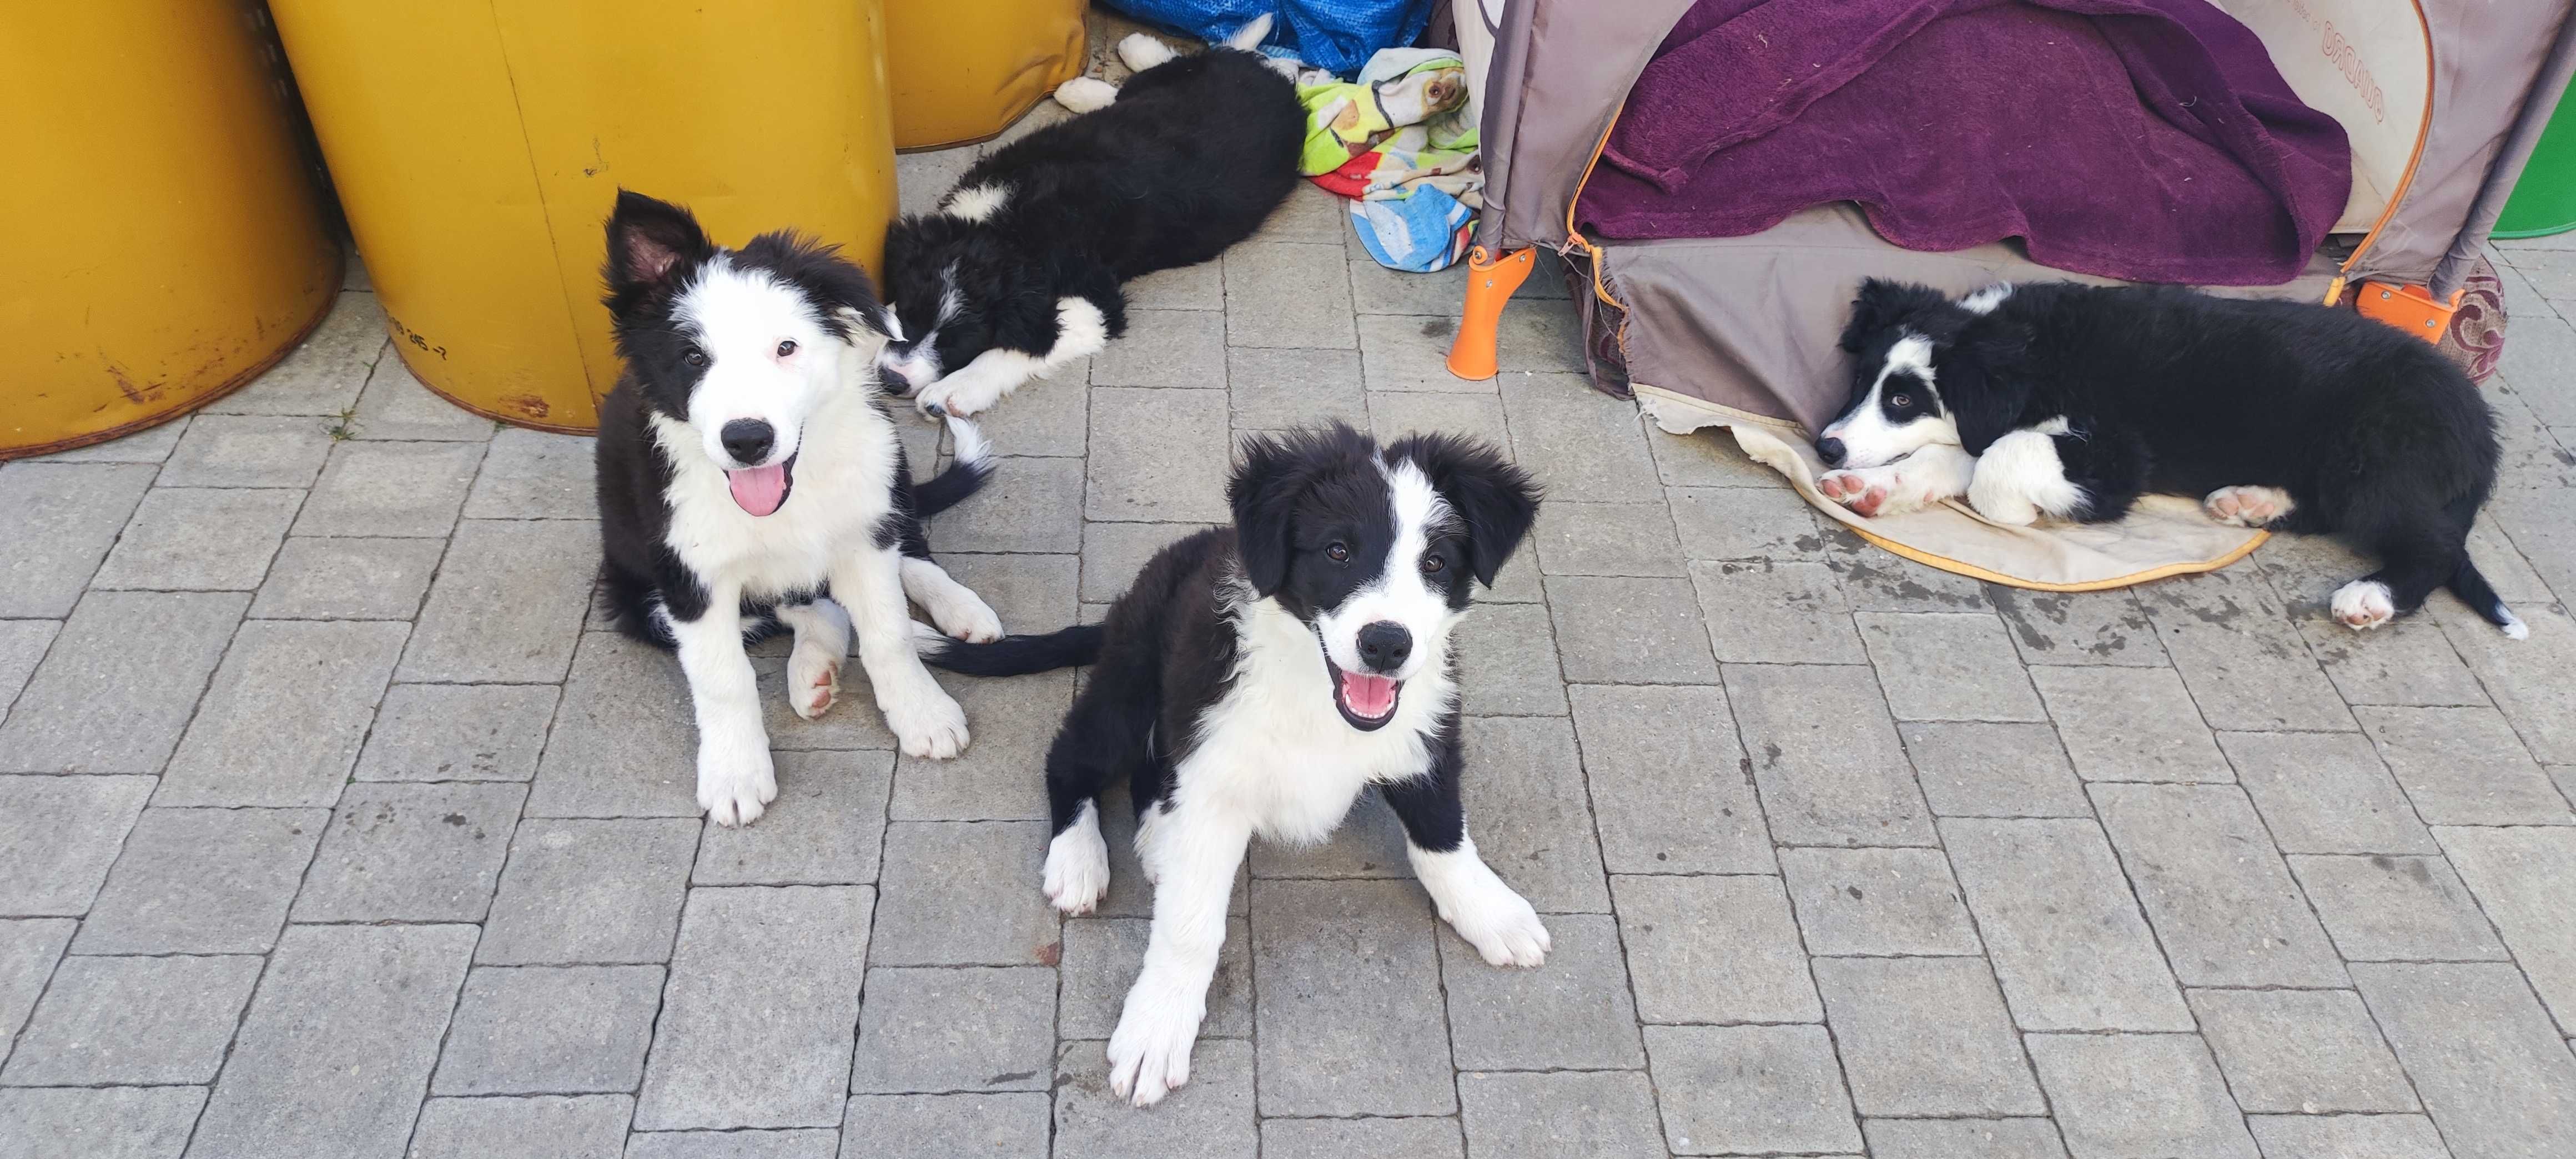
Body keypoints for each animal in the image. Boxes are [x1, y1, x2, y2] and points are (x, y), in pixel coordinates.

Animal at [595, 190, 1004, 824]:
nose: (747, 440)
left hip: (885, 478)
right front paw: (735, 774)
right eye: (692, 358)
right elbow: (723, 677)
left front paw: (923, 713)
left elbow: (888, 632)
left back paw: (959, 609)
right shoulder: (691, 575)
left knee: (904, 550)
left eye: (786, 348)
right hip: (636, 594)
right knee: (803, 606)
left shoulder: (863, 533)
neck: (789, 491)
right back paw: (814, 667)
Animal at [871, 17, 1309, 417]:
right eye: (907, 313)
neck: (1006, 225)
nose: (893, 381)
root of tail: (1267, 75)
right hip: (1171, 84)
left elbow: (1027, 345)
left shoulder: (1094, 299)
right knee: (1153, 75)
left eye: (959, 343)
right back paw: (1104, 71)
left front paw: (954, 390)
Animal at [912, 425, 1535, 1102]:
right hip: (1131, 684)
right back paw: (1079, 860)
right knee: (1072, 759)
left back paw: (1158, 839)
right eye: (1338, 551)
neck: (1314, 692)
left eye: (1435, 563)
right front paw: (1158, 1025)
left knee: (1154, 770)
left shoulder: (1424, 737)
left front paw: (1492, 912)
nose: (1387, 644)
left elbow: (1442, 833)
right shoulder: (1214, 769)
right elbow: (1189, 928)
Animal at [1813, 279, 2514, 638]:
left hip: (2374, 460)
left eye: (1902, 398)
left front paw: (2022, 508)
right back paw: (2250, 501)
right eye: (1862, 381)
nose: (1826, 445)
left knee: (2433, 548)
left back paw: (2371, 597)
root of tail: (2479, 428)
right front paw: (1872, 486)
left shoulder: (2118, 456)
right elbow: (1964, 452)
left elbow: (1997, 464)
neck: (2025, 345)